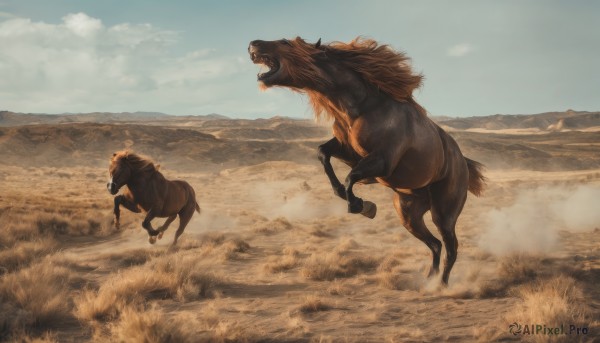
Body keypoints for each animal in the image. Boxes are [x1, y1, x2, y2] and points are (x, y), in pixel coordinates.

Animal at [250, 37, 488, 284]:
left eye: (285, 42)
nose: (253, 44)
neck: (363, 106)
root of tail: (462, 162)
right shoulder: (349, 150)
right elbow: (323, 154)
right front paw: (351, 199)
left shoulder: (384, 161)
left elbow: (351, 176)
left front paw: (360, 206)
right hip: (408, 215)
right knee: (435, 245)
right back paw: (428, 280)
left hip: (443, 214)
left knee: (451, 249)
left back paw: (439, 286)